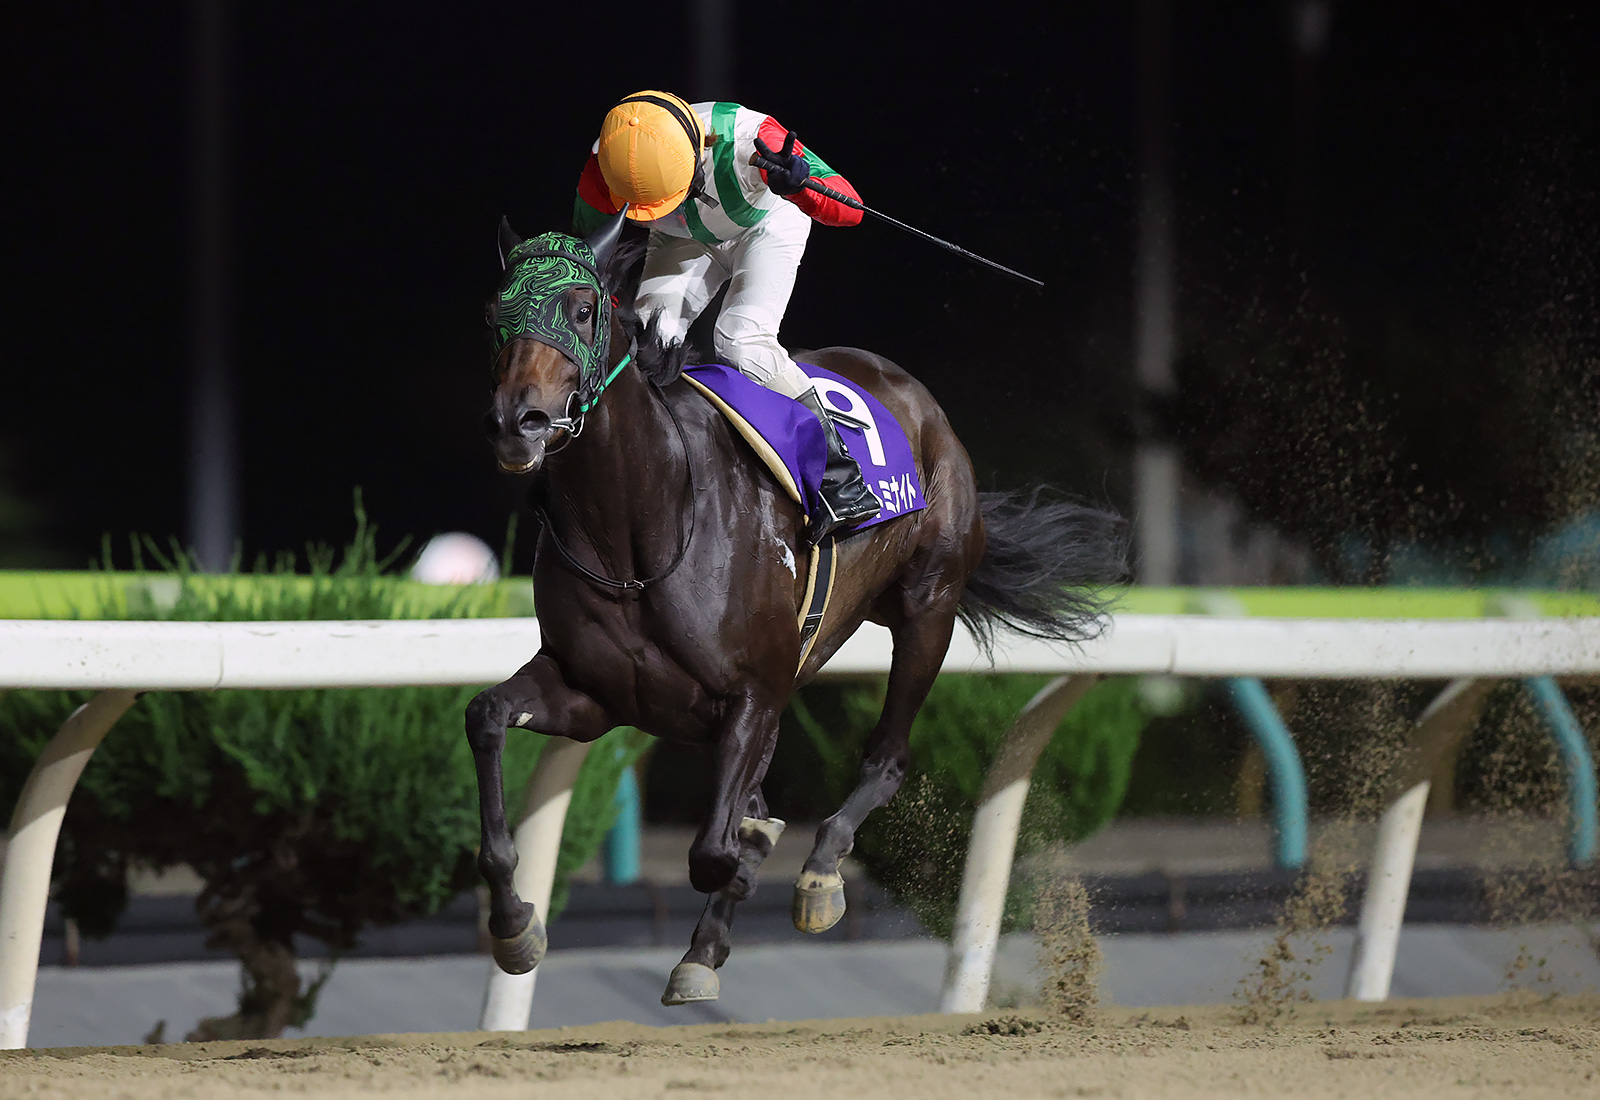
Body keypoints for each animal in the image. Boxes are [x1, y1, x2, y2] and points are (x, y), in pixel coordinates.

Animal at [467, 211, 1126, 1005]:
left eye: (583, 309)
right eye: (493, 314)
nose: (519, 423)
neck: (638, 530)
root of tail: (916, 398)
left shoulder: (754, 691)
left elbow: (716, 849)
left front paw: (763, 857)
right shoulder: (592, 693)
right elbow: (487, 718)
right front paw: (514, 925)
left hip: (927, 606)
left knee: (888, 757)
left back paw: (816, 873)